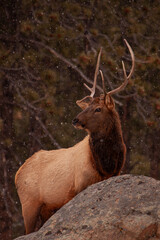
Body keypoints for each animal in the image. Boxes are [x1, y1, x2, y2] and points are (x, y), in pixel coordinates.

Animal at [15, 39, 135, 234]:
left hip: (46, 208)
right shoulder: (80, 185)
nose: (75, 119)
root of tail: (17, 173)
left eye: (98, 108)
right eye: (87, 106)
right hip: (29, 204)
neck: (106, 164)